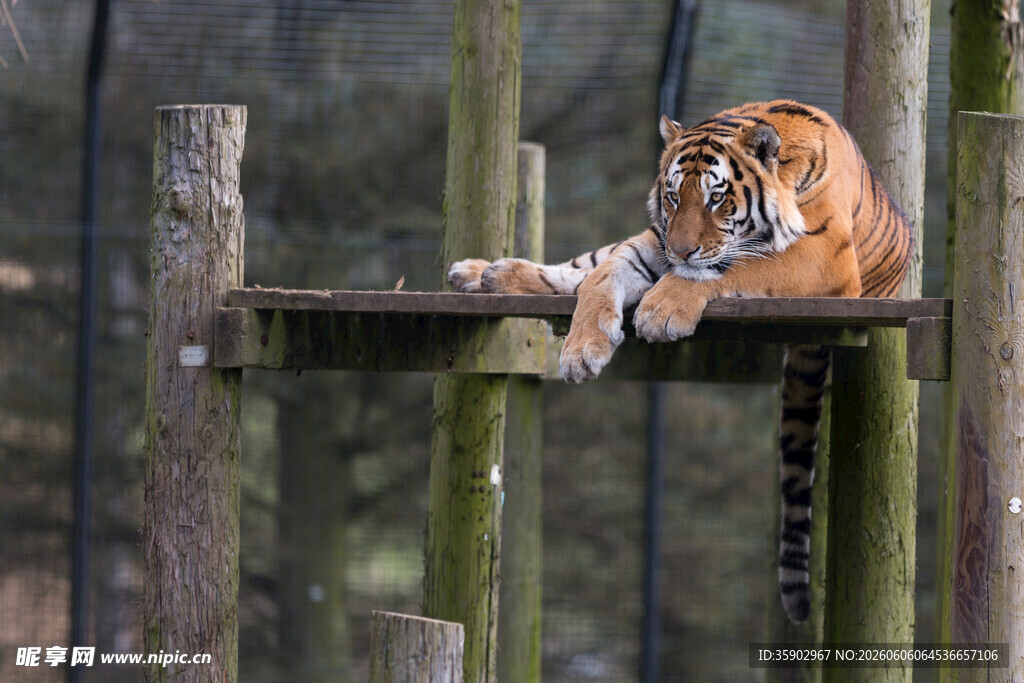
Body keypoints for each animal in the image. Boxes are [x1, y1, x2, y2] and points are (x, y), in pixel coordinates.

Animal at [447, 100, 912, 624]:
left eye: (716, 199)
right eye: (672, 197)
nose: (680, 249)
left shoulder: (821, 258)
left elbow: (734, 266)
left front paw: (661, 310)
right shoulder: (654, 237)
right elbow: (606, 273)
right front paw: (583, 348)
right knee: (583, 266)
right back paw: (483, 273)